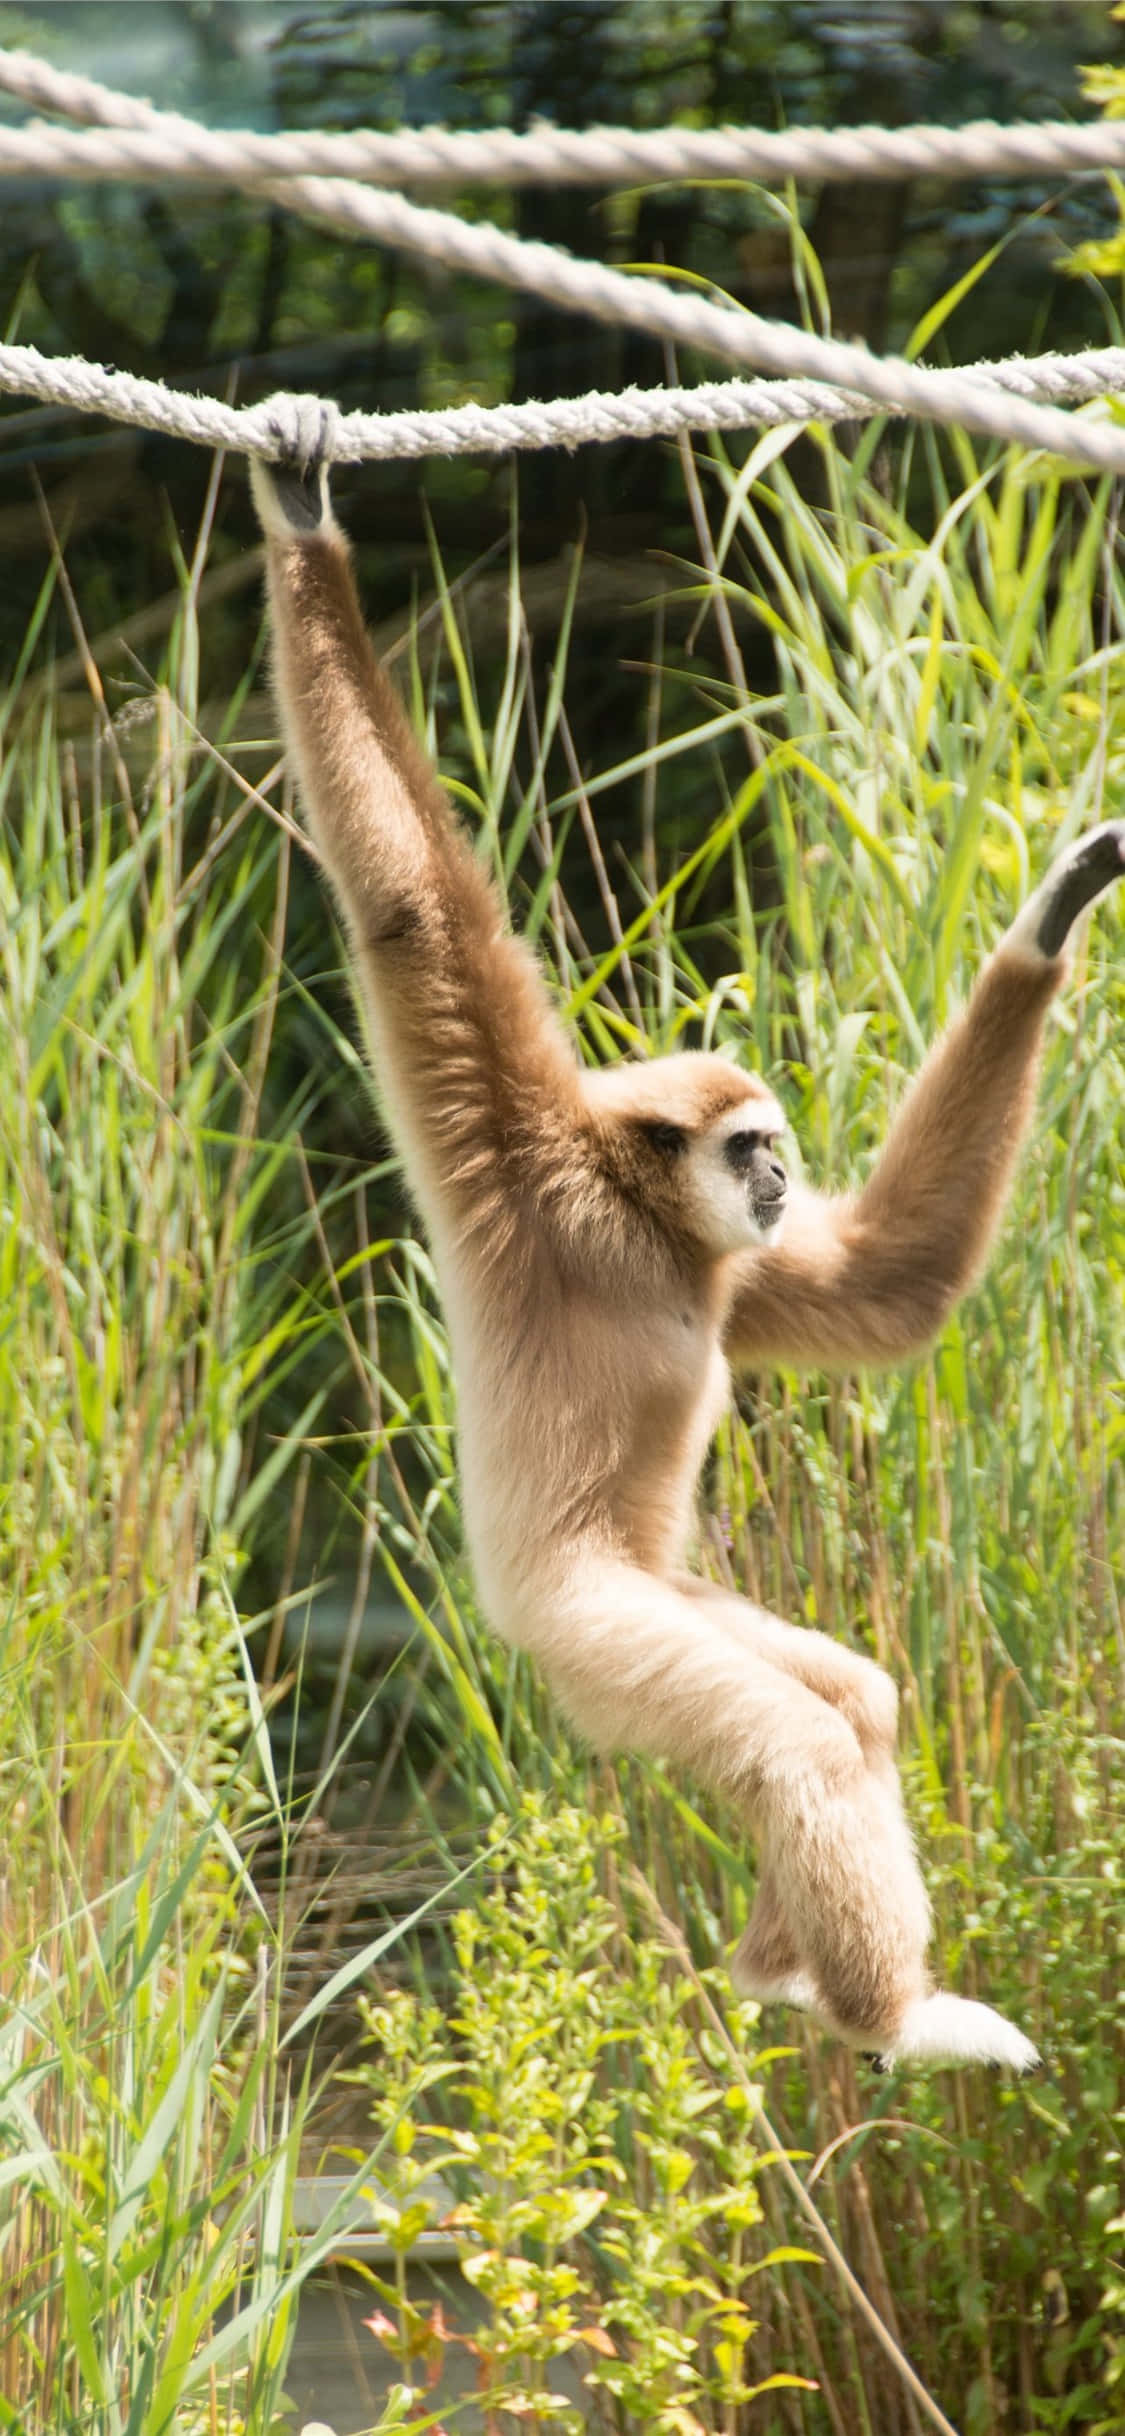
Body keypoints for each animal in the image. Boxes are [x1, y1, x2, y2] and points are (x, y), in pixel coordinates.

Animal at [248, 427, 1125, 2073]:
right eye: (747, 1143)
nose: (778, 1169)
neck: (645, 1235)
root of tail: (531, 1612)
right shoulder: (520, 1164)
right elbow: (411, 918)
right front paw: (306, 526)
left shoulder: (740, 1265)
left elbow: (886, 1285)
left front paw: (1053, 912)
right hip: (603, 1641)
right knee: (794, 1737)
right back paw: (898, 2015)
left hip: (678, 1605)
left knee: (854, 1696)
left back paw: (794, 1973)